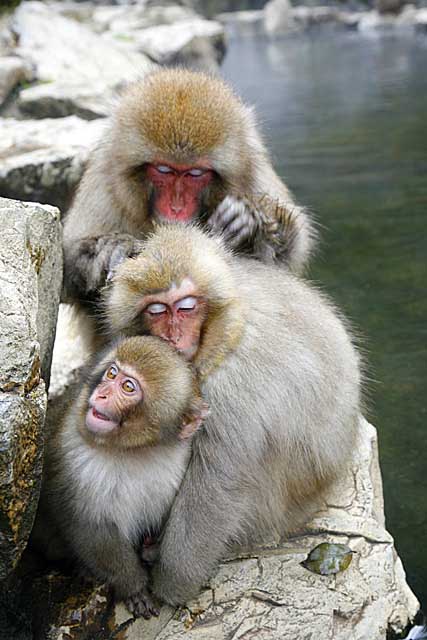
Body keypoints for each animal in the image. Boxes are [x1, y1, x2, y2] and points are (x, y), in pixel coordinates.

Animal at [32, 336, 208, 620]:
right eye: (112, 373)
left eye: (128, 387)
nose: (102, 393)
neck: (133, 452)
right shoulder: (75, 462)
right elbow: (89, 529)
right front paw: (133, 586)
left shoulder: (180, 459)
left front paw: (152, 549)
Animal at [63, 68, 314, 348]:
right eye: (163, 170)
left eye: (195, 173)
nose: (176, 207)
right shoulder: (104, 182)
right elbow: (70, 268)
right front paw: (112, 246)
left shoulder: (253, 172)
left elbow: (286, 261)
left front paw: (250, 221)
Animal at [103, 224, 362, 604]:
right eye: (156, 310)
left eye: (186, 307)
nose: (173, 336)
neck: (226, 329)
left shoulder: (230, 387)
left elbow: (218, 483)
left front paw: (170, 586)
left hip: (273, 510)